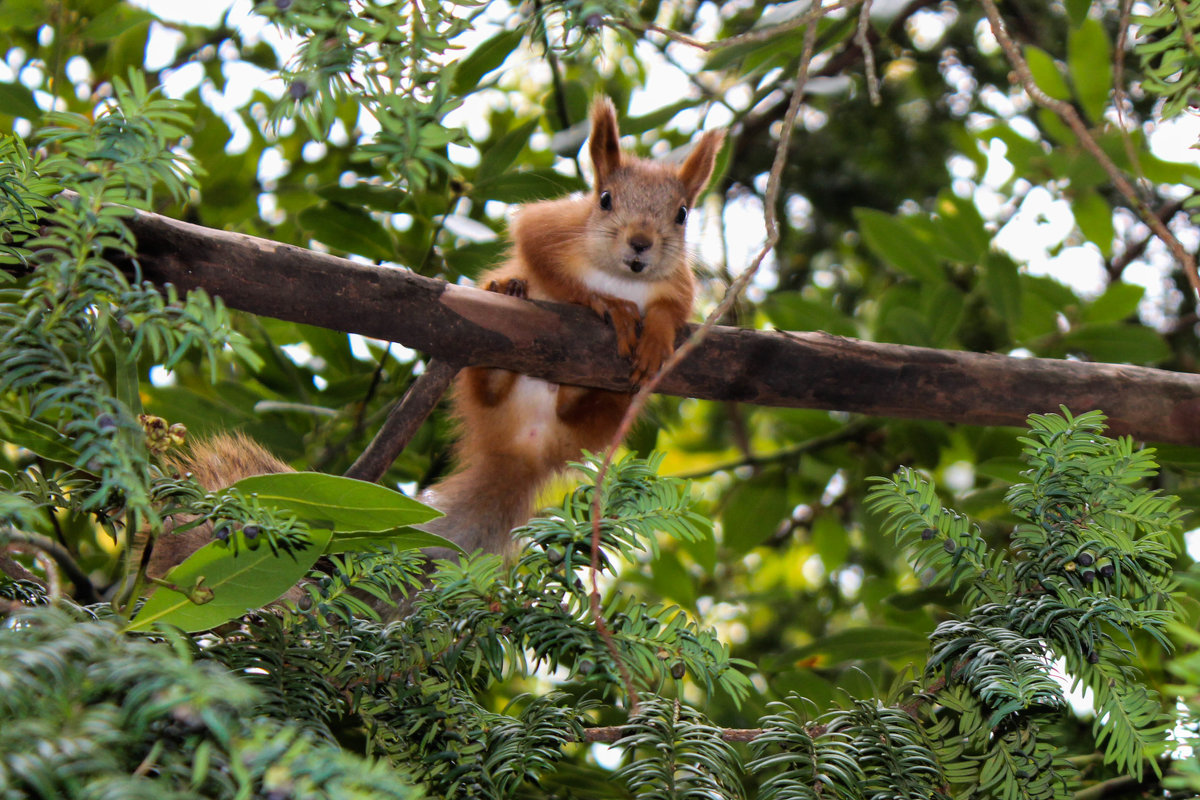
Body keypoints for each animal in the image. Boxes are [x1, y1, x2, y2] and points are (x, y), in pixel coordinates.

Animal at [150, 98, 720, 575]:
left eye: (682, 215)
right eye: (604, 200)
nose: (640, 244)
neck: (623, 276)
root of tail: (525, 447)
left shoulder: (679, 283)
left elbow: (674, 310)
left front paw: (656, 333)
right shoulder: (553, 226)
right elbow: (542, 255)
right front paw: (606, 306)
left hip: (604, 423)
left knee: (589, 410)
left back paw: (580, 391)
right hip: (477, 377)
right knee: (489, 383)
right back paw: (507, 315)